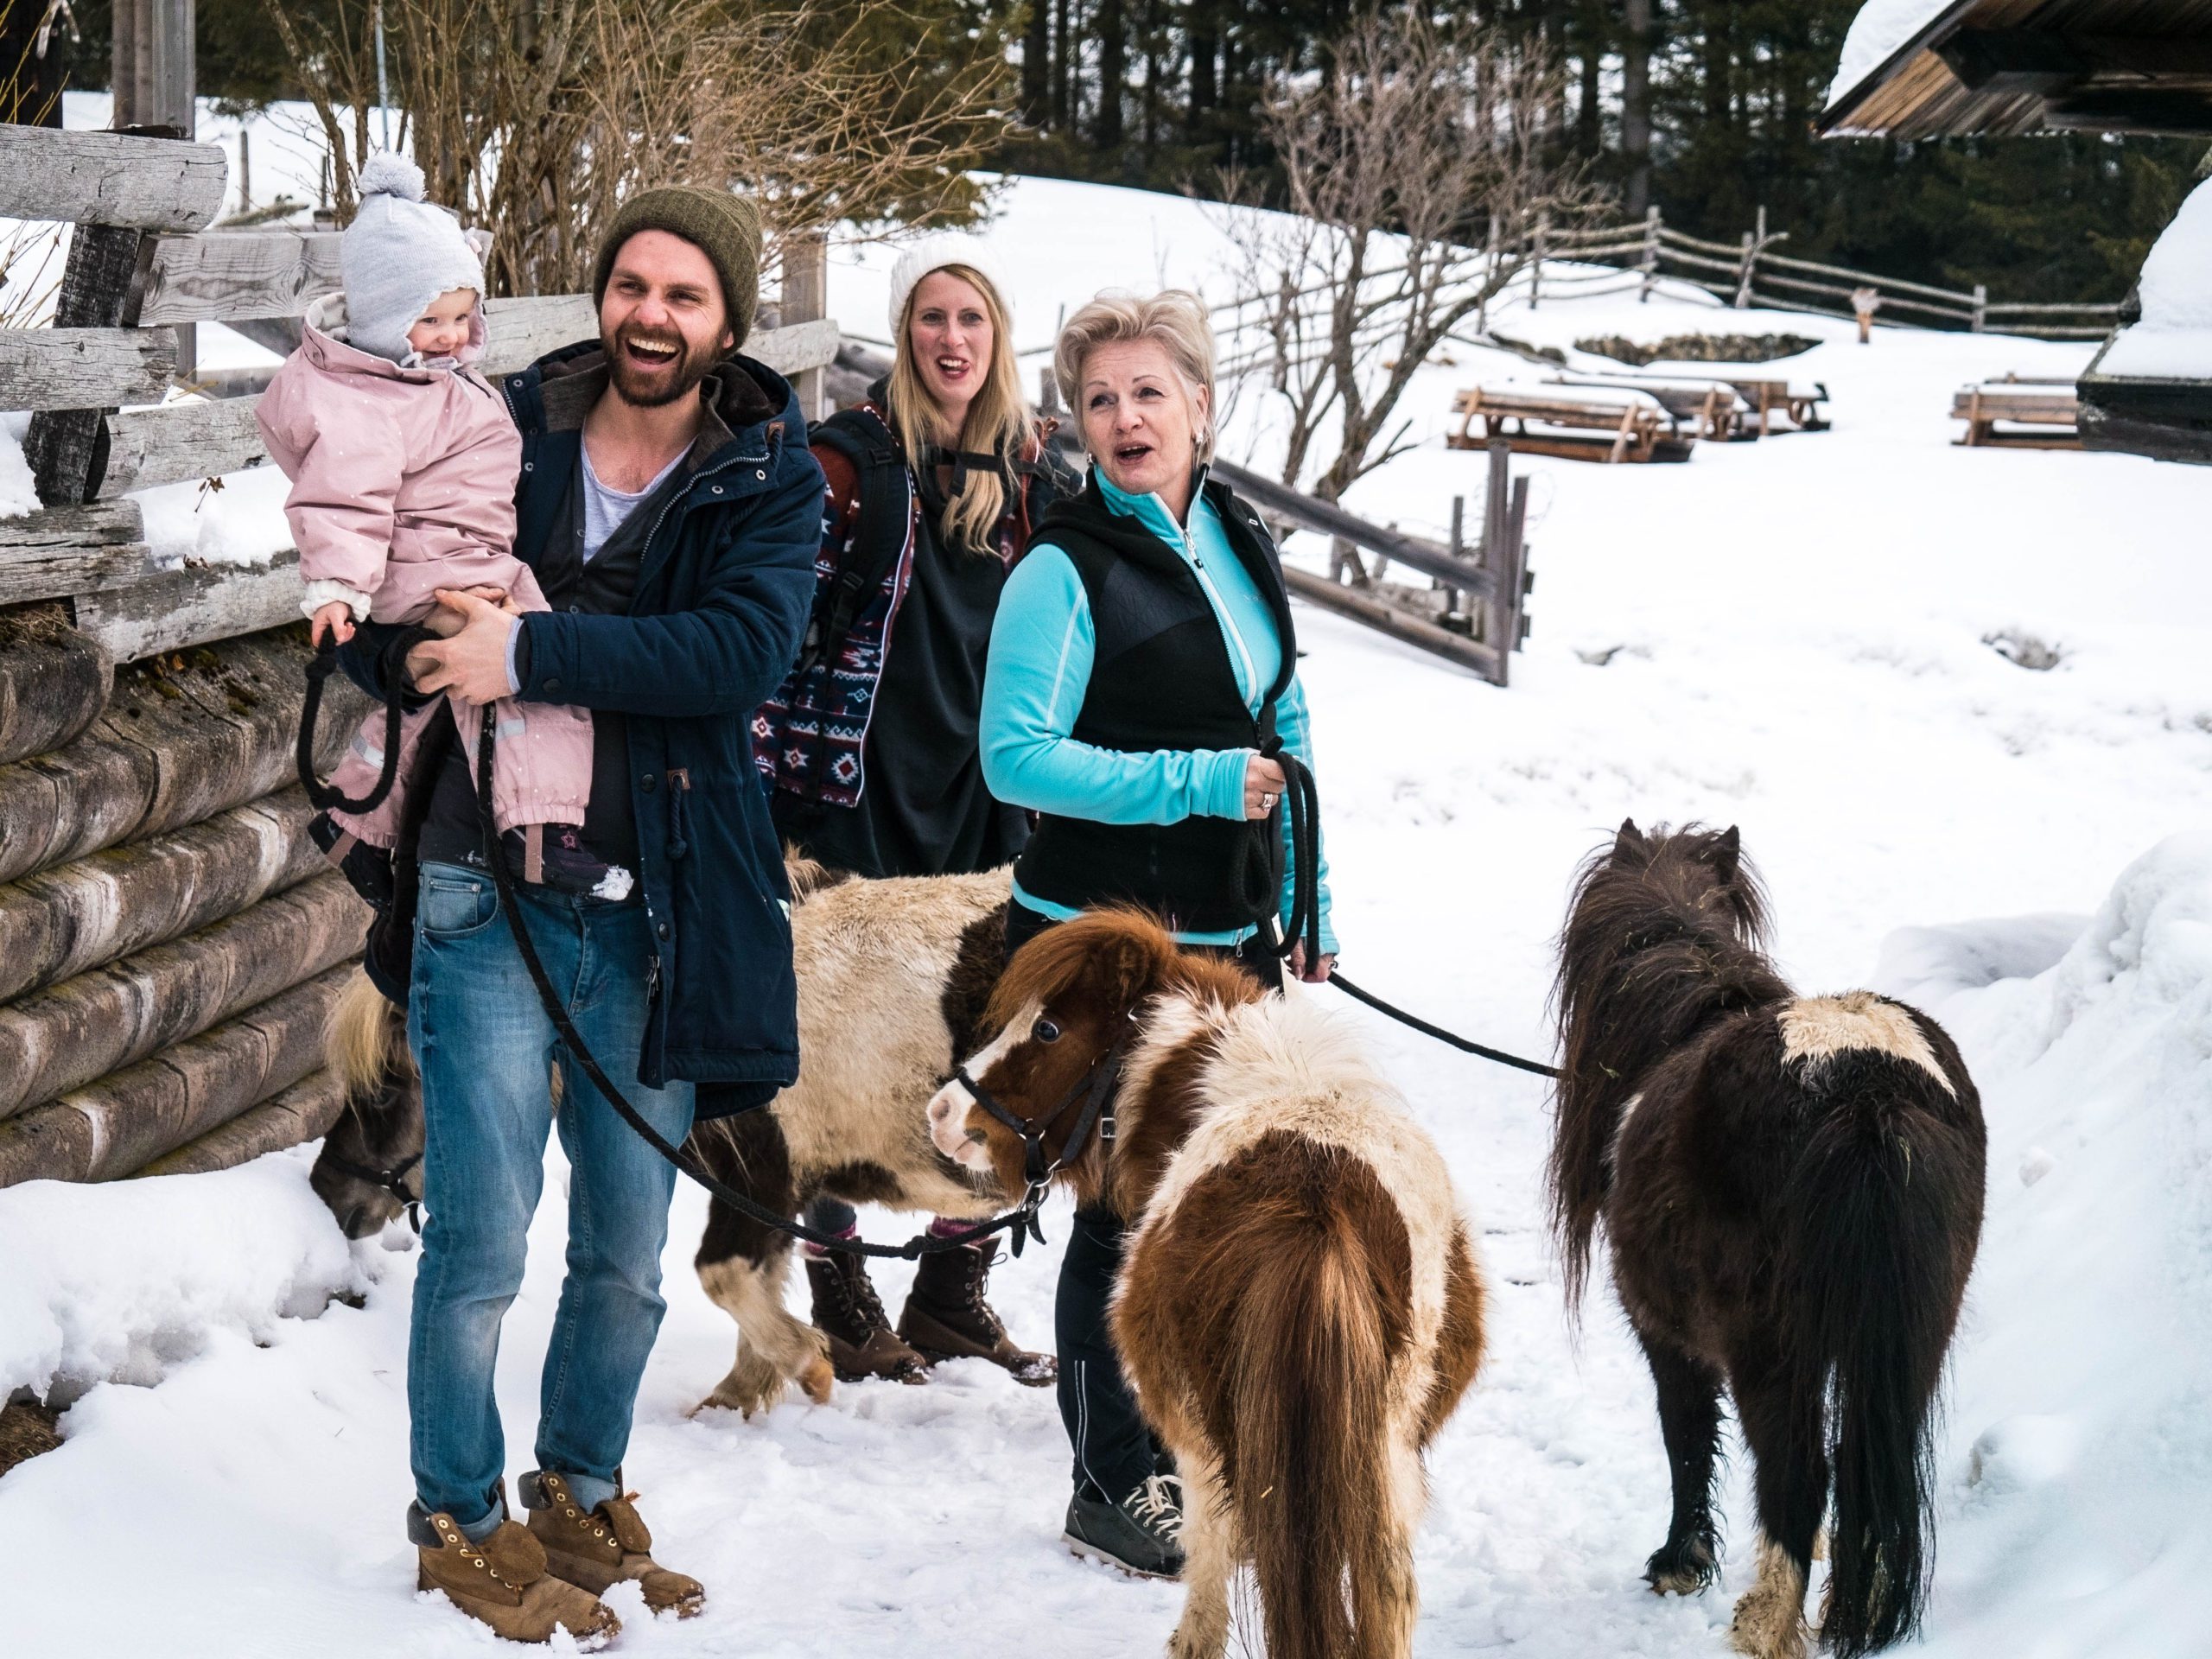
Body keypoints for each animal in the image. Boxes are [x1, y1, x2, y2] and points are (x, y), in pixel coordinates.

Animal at [314, 858, 1017, 1415]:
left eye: (389, 1087)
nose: (328, 1189)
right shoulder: (765, 1183)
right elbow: (757, 1281)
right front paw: (740, 1396)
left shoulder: (768, 1171)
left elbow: (723, 1276)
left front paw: (808, 1368)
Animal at [929, 911, 1486, 1659]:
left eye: (1046, 1029)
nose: (943, 1112)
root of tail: (1315, 1204)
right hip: (1385, 1455)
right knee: (1385, 1591)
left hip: (1202, 1425)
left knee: (1216, 1543)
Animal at [1557, 823, 1991, 1659]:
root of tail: (1868, 1088)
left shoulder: (1668, 1339)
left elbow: (1687, 1439)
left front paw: (1679, 1563)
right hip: (1916, 1333)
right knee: (1870, 1460)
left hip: (1770, 1348)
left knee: (1799, 1472)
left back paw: (1764, 1624)